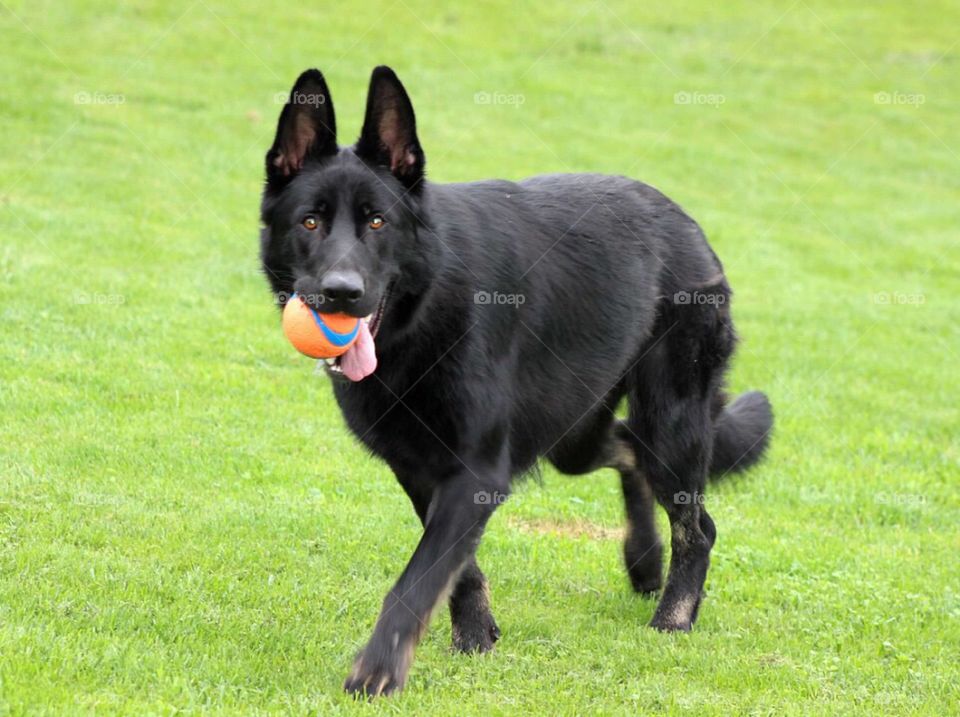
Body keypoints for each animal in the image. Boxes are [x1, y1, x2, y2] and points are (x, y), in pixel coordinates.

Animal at [260, 65, 772, 692]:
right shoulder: (423, 470)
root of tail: (685, 220)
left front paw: (379, 669)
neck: (424, 311)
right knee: (629, 451)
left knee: (697, 526)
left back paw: (673, 618)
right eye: (309, 222)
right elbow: (456, 569)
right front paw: (475, 635)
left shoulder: (476, 472)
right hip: (578, 437)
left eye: (377, 222)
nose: (340, 293)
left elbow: (418, 580)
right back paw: (644, 561)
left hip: (670, 421)